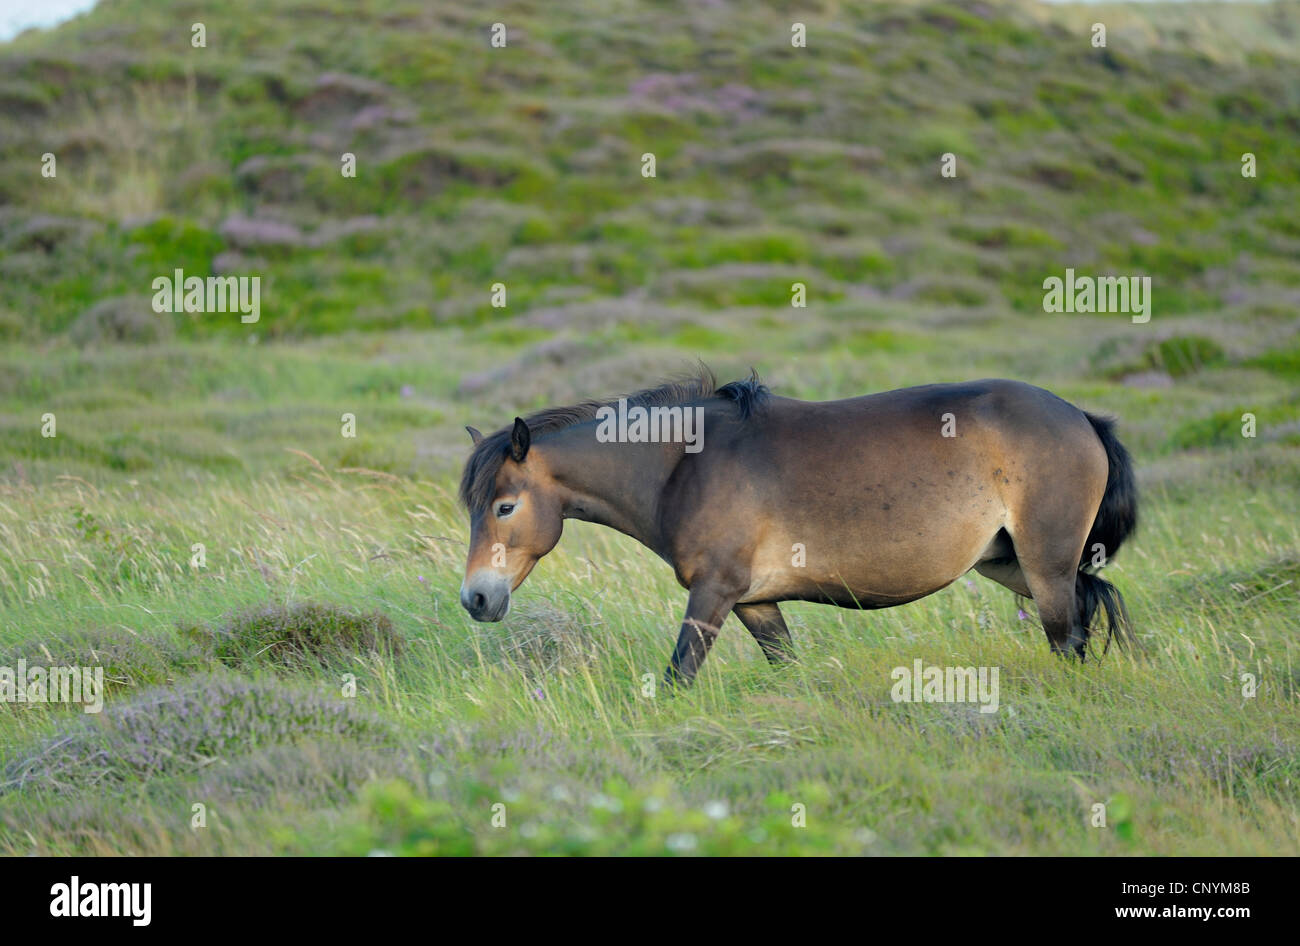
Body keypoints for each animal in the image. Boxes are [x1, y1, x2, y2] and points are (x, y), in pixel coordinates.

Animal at [457, 369, 1138, 686]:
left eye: (504, 507)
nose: (476, 599)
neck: (685, 464)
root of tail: (1081, 416)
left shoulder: (712, 594)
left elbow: (679, 676)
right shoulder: (753, 602)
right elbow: (785, 664)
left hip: (1044, 567)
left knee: (1068, 637)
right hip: (1008, 564)